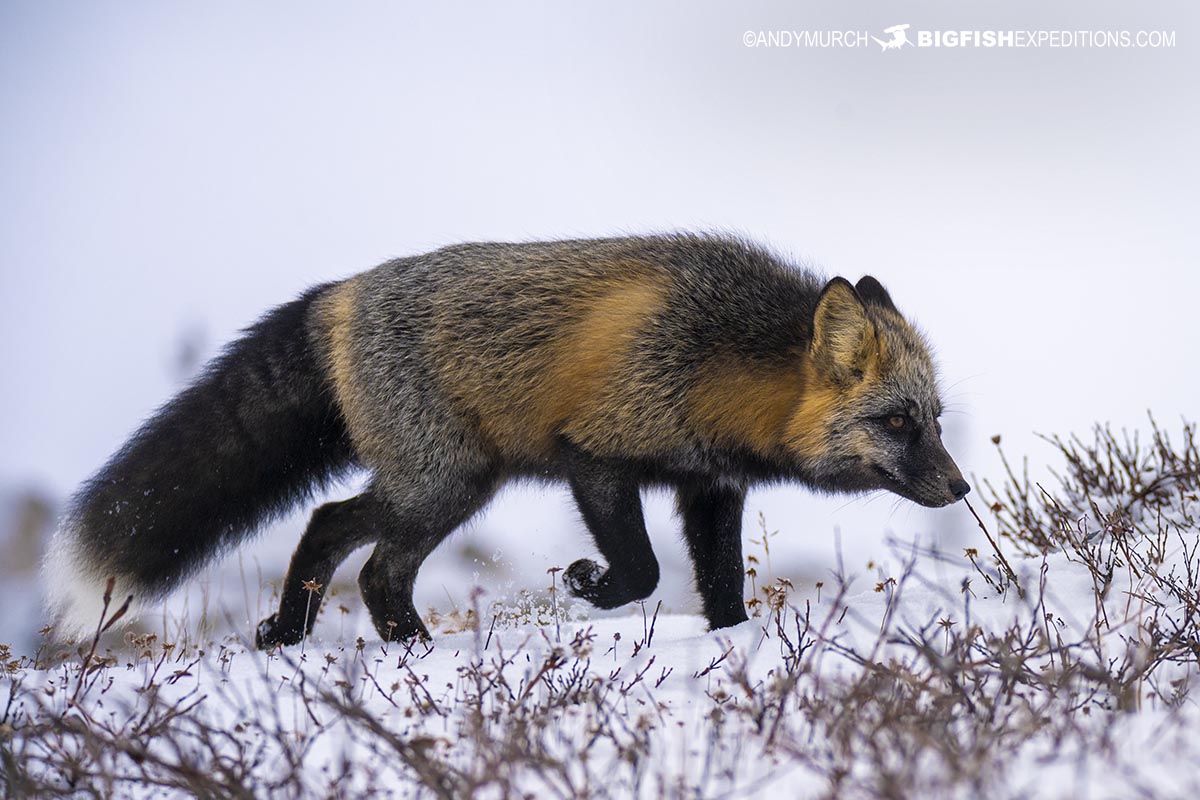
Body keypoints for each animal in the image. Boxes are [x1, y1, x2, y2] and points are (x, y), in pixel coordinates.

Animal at [44, 234, 969, 647]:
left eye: (935, 419)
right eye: (895, 422)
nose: (960, 487)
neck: (712, 357)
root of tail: (341, 291)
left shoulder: (710, 485)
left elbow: (719, 587)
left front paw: (731, 647)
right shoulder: (593, 453)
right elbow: (642, 571)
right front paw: (591, 587)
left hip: (447, 488)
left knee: (352, 547)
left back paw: (329, 638)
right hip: (442, 485)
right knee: (353, 543)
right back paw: (396, 649)